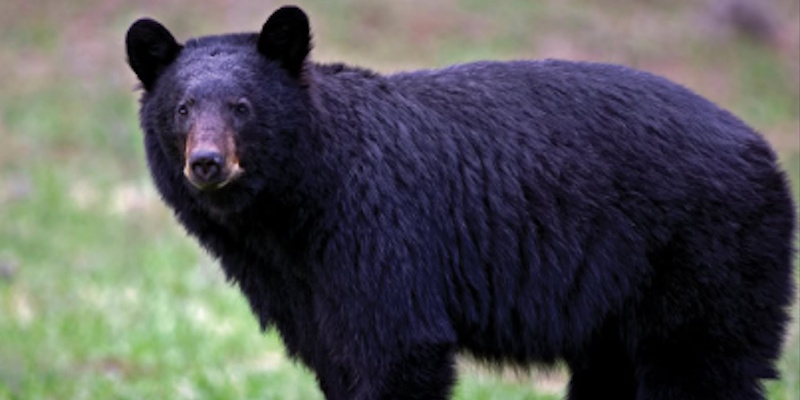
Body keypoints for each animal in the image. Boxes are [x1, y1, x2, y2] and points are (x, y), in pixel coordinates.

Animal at [125, 6, 796, 400]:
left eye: (242, 106)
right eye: (182, 108)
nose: (206, 163)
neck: (295, 207)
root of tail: (765, 152)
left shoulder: (381, 231)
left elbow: (399, 349)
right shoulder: (299, 288)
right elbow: (335, 356)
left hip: (706, 256)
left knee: (701, 365)